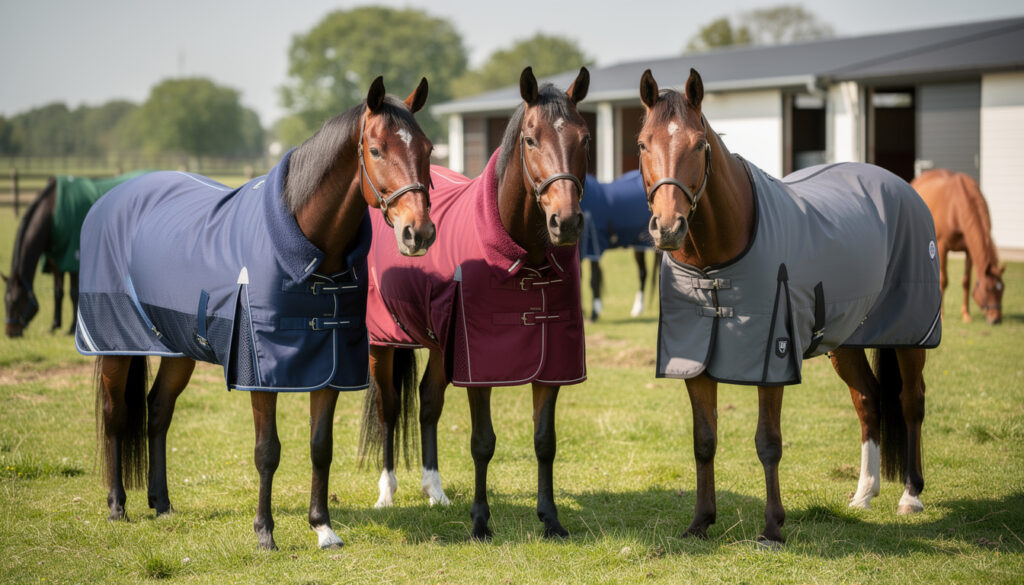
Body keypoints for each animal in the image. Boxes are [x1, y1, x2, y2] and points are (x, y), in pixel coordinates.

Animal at [76, 77, 435, 550]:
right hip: (117, 345)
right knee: (115, 416)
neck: (308, 252)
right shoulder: (260, 372)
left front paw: (323, 527)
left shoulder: (331, 368)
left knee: (158, 411)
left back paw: (162, 503)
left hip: (180, 349)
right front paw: (265, 532)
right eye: (376, 150)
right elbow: (268, 451)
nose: (419, 232)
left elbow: (321, 447)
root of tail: (109, 199)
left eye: (428, 149)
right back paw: (118, 505)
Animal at [359, 66, 590, 540]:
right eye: (531, 139)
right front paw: (481, 522)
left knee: (428, 404)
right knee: (389, 409)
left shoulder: (552, 366)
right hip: (382, 343)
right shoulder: (478, 368)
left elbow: (545, 442)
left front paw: (551, 518)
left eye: (585, 138)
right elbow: (482, 443)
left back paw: (435, 490)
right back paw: (387, 492)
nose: (567, 222)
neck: (524, 260)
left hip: (438, 346)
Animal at [580, 171, 662, 321]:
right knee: (643, 273)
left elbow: (593, 280)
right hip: (638, 245)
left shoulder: (594, 247)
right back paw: (637, 309)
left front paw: (594, 314)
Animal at [637, 68, 941, 544]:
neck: (716, 264)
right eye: (642, 144)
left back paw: (910, 496)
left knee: (911, 401)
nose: (668, 227)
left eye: (699, 144)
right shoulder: (695, 361)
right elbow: (704, 440)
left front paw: (773, 528)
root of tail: (902, 186)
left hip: (910, 335)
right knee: (868, 400)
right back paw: (863, 494)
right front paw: (701, 522)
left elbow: (768, 443)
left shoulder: (772, 359)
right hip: (846, 341)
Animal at [911, 169, 1005, 325]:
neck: (956, 207)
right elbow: (943, 280)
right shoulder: (941, 246)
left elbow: (966, 282)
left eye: (1002, 288)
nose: (996, 319)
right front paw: (942, 315)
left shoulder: (969, 250)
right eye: (987, 289)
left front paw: (966, 315)